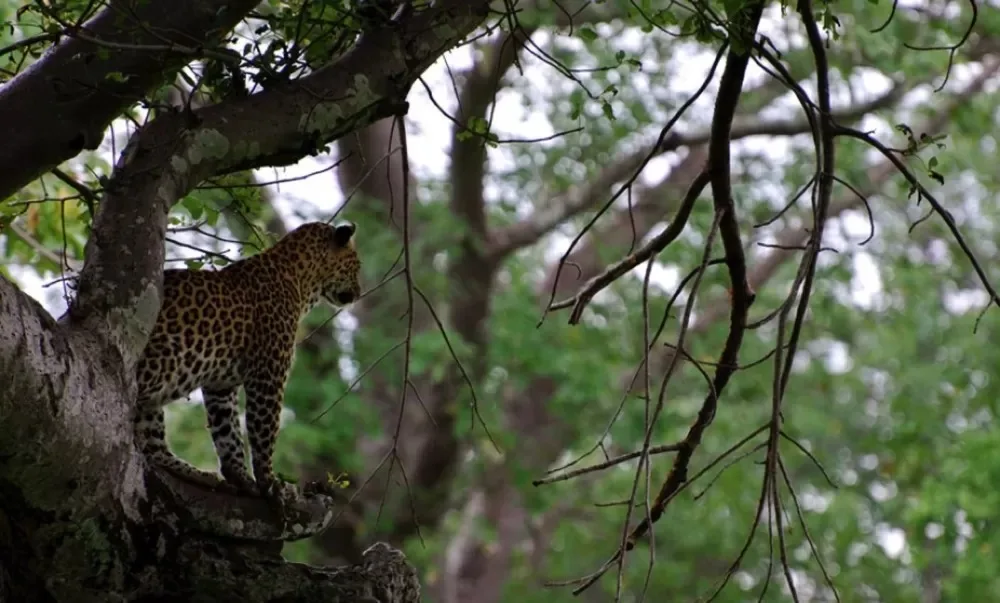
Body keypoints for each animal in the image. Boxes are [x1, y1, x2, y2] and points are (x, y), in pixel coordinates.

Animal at [134, 221, 361, 502]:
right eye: (357, 266)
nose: (359, 293)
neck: (301, 281)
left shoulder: (221, 384)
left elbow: (227, 431)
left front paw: (240, 477)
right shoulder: (269, 374)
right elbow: (264, 429)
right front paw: (270, 482)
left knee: (153, 446)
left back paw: (196, 473)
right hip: (171, 357)